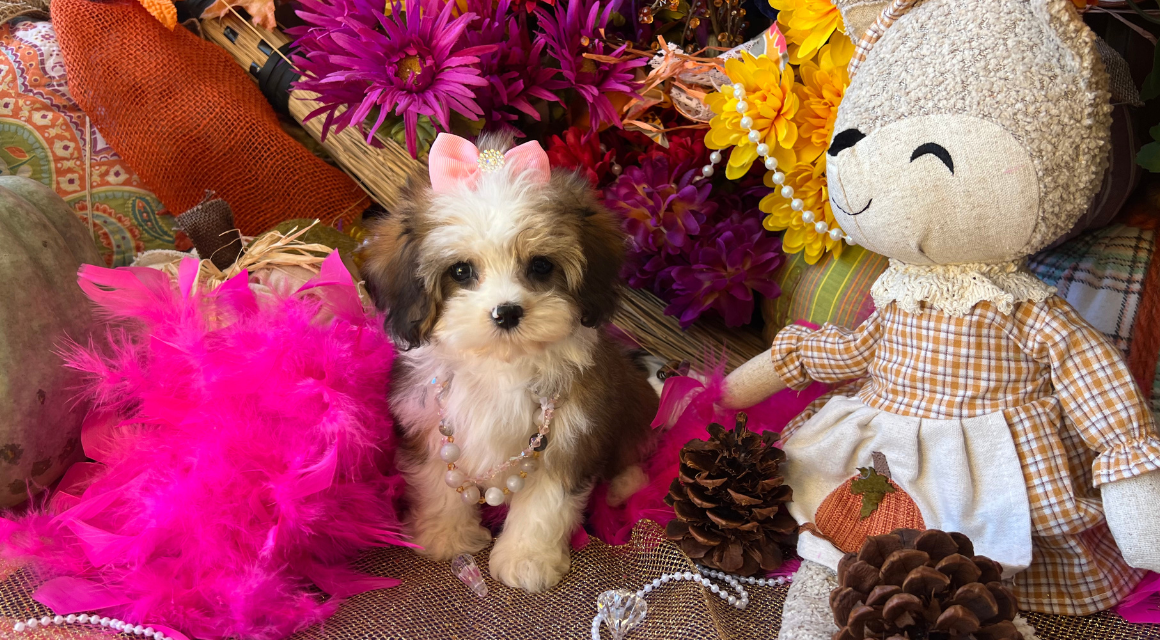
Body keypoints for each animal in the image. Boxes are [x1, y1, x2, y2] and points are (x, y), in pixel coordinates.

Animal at [357, 132, 658, 593]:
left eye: (541, 266)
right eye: (461, 271)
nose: (507, 312)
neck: (499, 366)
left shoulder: (569, 436)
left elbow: (544, 503)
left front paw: (526, 559)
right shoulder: (424, 425)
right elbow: (439, 485)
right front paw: (445, 534)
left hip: (632, 402)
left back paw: (625, 486)